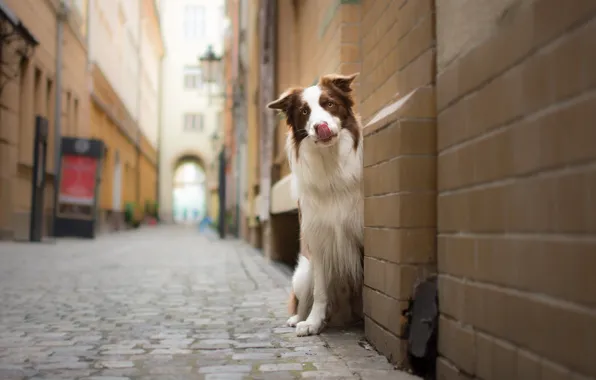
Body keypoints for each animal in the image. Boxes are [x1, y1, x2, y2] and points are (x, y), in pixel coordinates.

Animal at [266, 73, 360, 336]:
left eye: (329, 103)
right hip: (303, 273)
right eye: (304, 111)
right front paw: (313, 322)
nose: (321, 126)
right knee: (303, 300)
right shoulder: (318, 240)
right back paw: (299, 318)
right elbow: (320, 292)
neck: (330, 165)